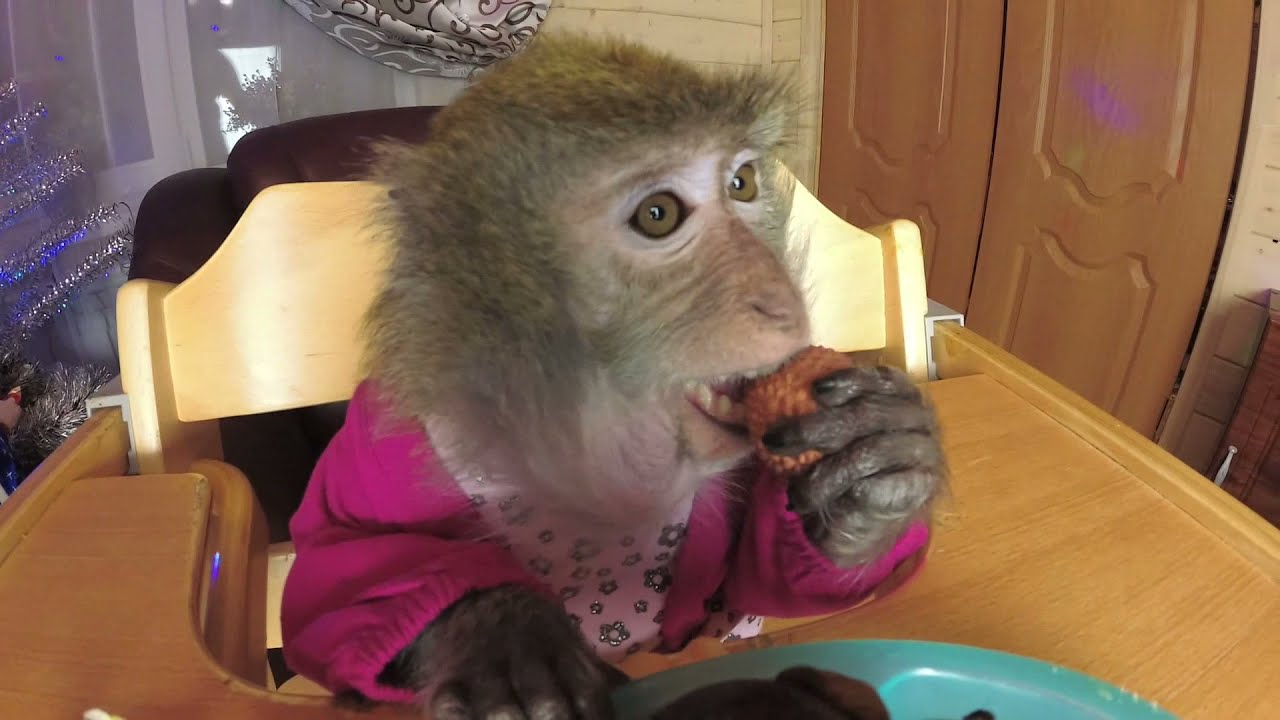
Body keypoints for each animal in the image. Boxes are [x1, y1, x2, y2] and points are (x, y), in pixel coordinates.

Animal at [278, 32, 947, 720]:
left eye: (742, 181)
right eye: (658, 214)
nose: (779, 299)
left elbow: (762, 583)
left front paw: (872, 479)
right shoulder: (379, 447)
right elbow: (334, 574)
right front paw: (501, 628)